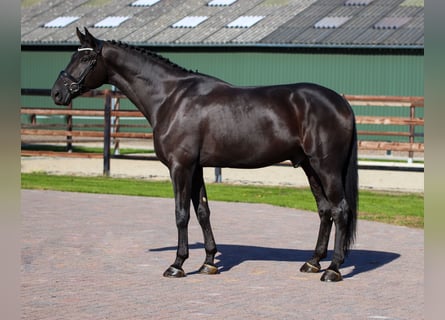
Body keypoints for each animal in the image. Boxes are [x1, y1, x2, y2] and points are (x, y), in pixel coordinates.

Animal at [52, 28, 358, 282]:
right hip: (310, 167)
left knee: (340, 210)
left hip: (326, 167)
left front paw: (177, 264)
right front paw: (209, 262)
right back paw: (313, 262)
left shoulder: (180, 167)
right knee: (325, 210)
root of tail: (341, 102)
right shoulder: (196, 167)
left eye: (86, 57)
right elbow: (202, 211)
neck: (171, 98)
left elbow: (181, 214)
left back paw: (333, 269)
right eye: (72, 55)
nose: (57, 93)